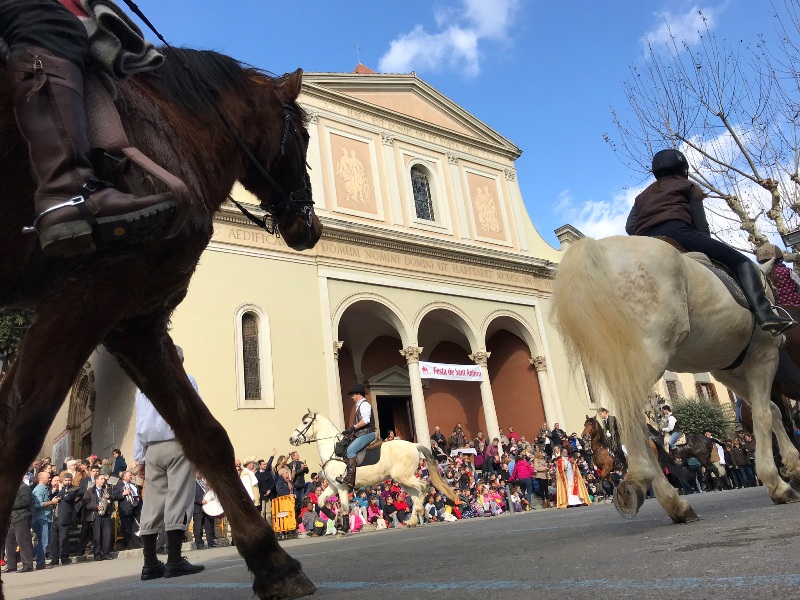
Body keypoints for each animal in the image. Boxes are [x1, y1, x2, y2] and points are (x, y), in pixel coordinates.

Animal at [3, 48, 324, 600]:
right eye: (302, 137)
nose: (312, 224)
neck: (169, 131)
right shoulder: (89, 292)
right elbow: (20, 430)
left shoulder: (136, 323)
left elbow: (207, 436)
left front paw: (272, 562)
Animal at [290, 410, 456, 532]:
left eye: (305, 422)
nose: (292, 439)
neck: (333, 448)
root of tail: (414, 445)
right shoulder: (332, 486)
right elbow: (320, 501)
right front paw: (335, 519)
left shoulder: (342, 486)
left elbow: (343, 507)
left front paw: (343, 527)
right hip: (403, 480)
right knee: (416, 495)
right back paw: (413, 520)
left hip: (404, 477)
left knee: (423, 486)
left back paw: (420, 512)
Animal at [552, 237, 800, 524]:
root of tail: (598, 250)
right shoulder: (764, 356)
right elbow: (764, 415)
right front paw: (778, 482)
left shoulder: (726, 370)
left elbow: (772, 411)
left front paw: (793, 467)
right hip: (647, 358)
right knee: (631, 420)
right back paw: (643, 481)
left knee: (633, 422)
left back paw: (672, 501)